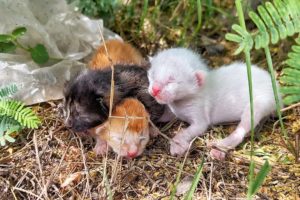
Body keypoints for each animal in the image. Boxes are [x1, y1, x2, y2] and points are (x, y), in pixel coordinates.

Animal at [148, 47, 278, 160]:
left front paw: (177, 144)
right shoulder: (172, 109)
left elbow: (187, 131)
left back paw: (220, 148)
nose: (154, 89)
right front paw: (152, 126)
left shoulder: (200, 116)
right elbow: (164, 116)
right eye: (152, 74)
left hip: (260, 103)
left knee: (242, 130)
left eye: (171, 81)